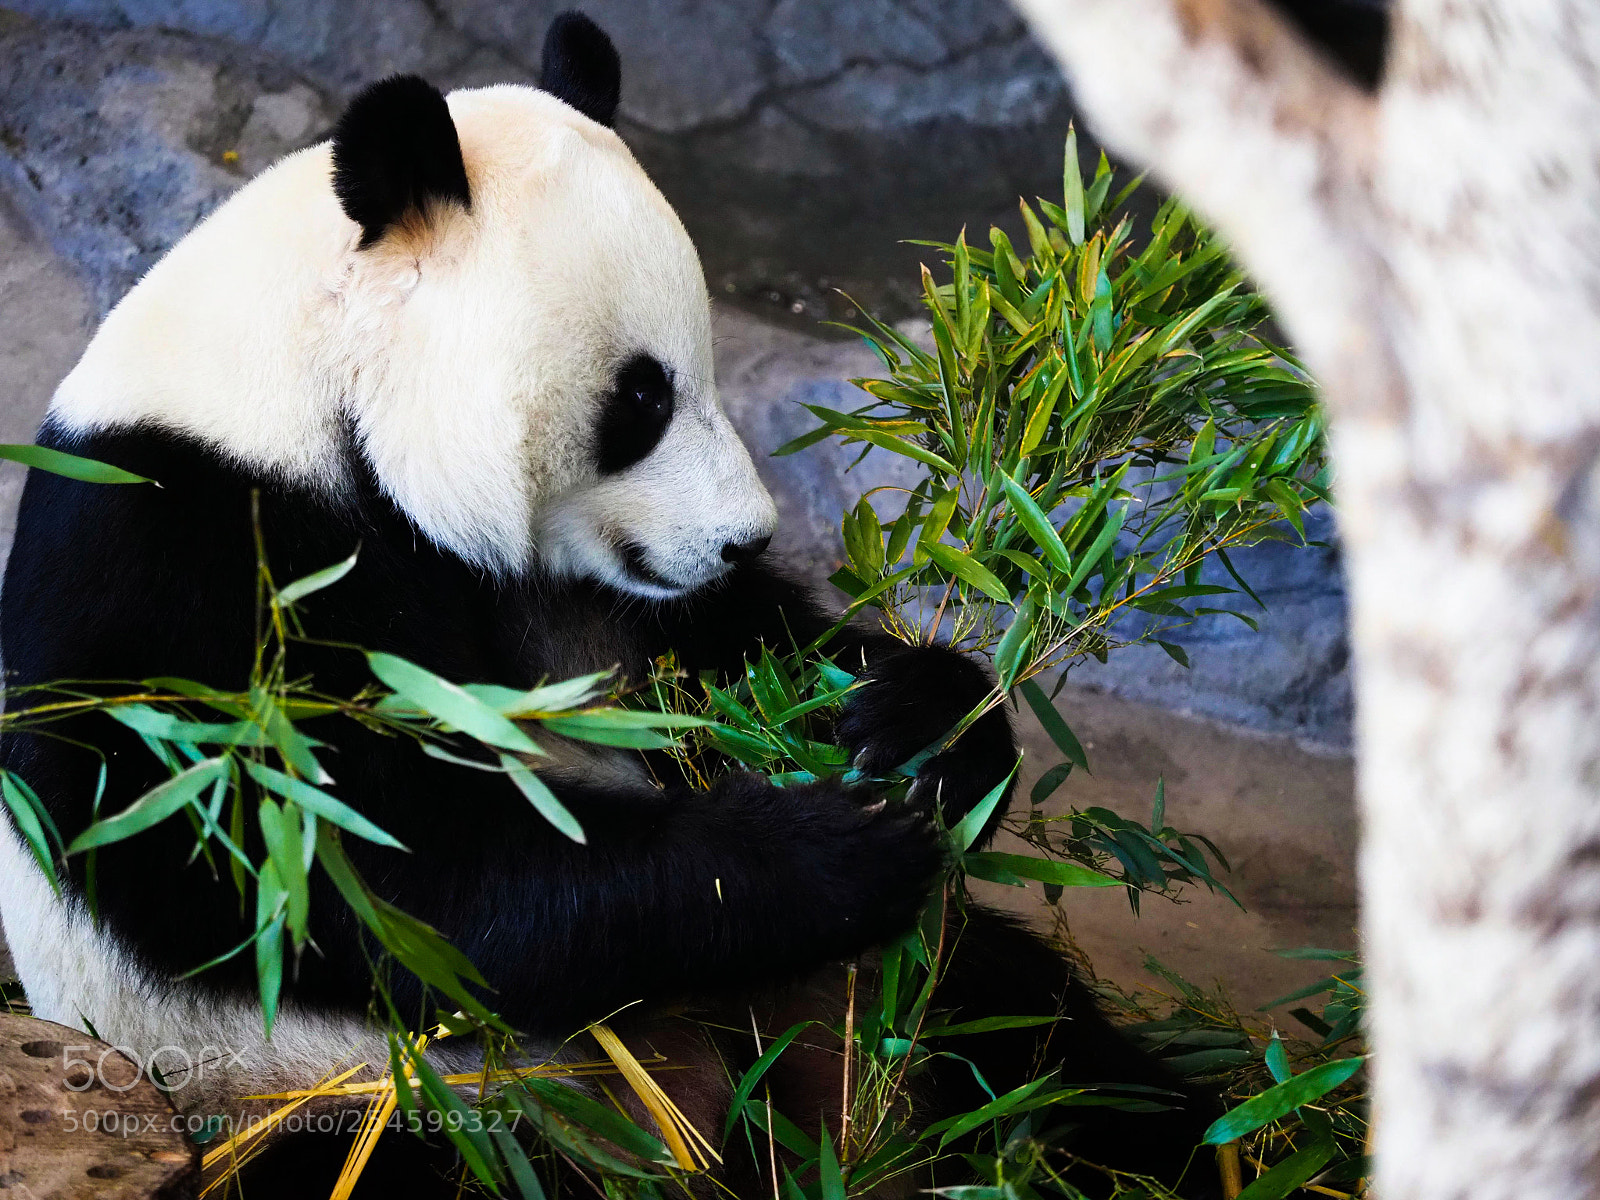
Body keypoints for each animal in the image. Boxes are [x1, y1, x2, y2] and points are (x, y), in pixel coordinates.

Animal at [0, 13, 1216, 1198]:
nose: (746, 536)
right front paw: (829, 851)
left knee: (1023, 1032)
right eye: (642, 397)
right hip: (371, 1101)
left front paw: (918, 725)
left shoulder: (593, 596)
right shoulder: (185, 565)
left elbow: (735, 660)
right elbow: (369, 871)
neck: (314, 391)